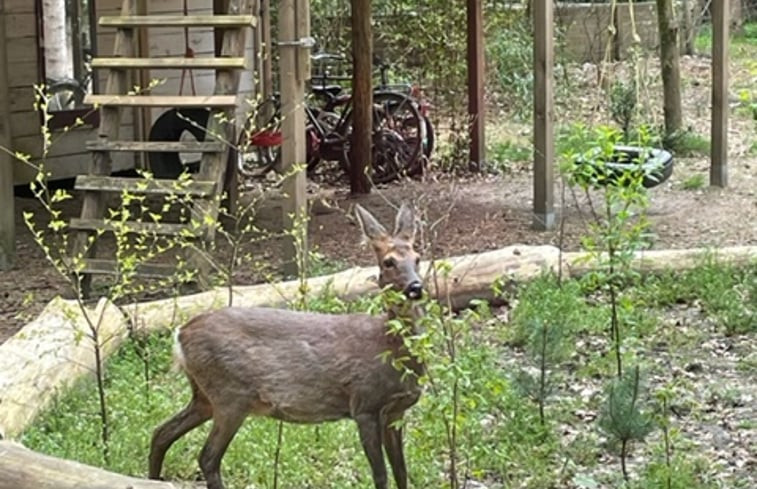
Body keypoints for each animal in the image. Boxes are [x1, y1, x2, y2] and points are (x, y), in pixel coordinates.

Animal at [149, 203, 426, 488]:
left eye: (418, 257)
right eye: (388, 262)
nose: (416, 287)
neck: (390, 348)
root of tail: (180, 335)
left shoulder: (396, 412)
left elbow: (401, 472)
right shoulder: (364, 404)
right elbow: (381, 476)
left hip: (205, 396)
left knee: (161, 433)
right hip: (230, 394)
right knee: (207, 457)